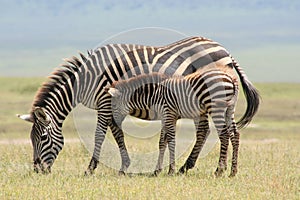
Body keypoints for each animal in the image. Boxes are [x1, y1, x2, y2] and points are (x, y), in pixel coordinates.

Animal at [105, 70, 241, 177]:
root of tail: (231, 78)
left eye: (113, 106)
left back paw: (219, 170)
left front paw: (171, 170)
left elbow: (171, 140)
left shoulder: (169, 114)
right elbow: (162, 142)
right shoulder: (166, 118)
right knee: (235, 134)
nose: (112, 122)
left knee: (224, 135)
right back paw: (233, 171)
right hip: (230, 109)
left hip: (216, 107)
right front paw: (157, 171)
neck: (154, 95)